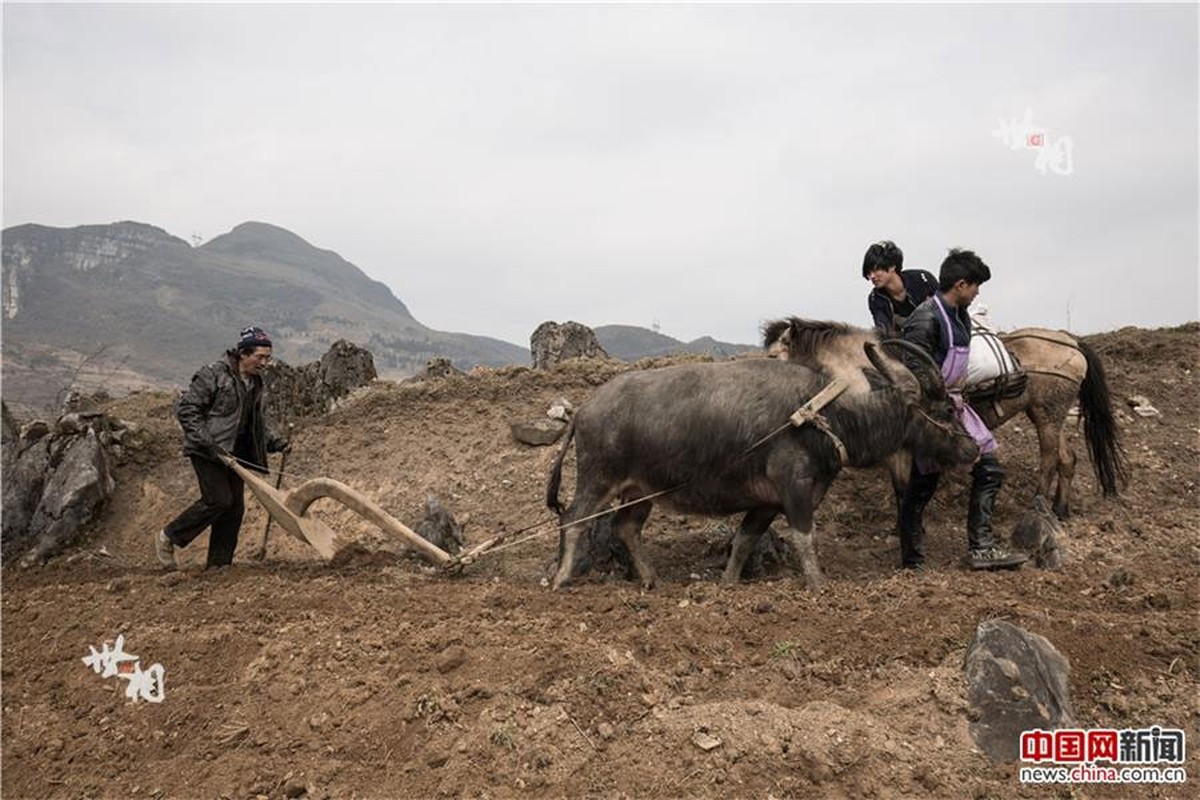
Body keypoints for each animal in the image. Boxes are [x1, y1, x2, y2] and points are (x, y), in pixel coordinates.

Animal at [763, 319, 1128, 520]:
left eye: (772, 354)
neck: (861, 370)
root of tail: (1071, 342)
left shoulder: (899, 448)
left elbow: (903, 488)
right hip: (1047, 413)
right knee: (1068, 457)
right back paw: (1060, 510)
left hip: (1047, 414)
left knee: (1050, 457)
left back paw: (1037, 507)